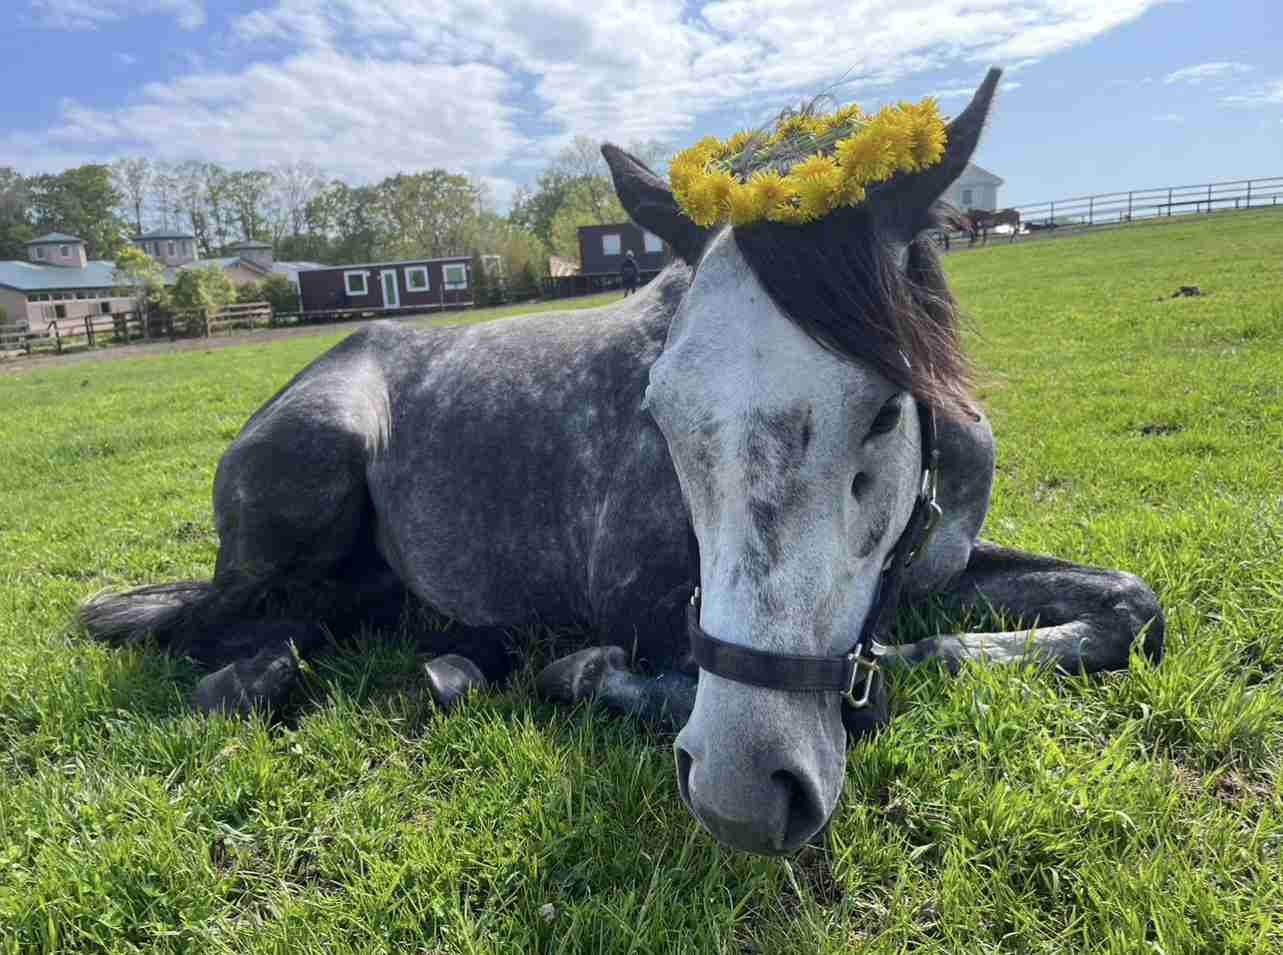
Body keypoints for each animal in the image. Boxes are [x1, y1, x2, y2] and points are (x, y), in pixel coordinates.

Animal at [79, 69, 1164, 857]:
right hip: (312, 468)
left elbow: (1131, 608)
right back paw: (285, 675)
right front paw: (582, 669)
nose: (740, 793)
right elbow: (832, 700)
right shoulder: (645, 606)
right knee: (202, 629)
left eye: (887, 409)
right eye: (659, 410)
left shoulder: (943, 566)